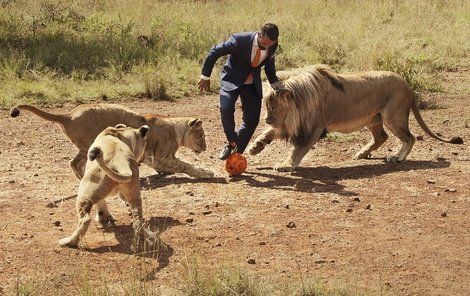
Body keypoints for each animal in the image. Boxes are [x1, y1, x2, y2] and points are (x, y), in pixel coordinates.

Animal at [10, 103, 213, 179]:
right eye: (202, 136)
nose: (204, 147)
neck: (176, 127)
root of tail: (68, 115)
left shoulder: (152, 157)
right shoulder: (161, 157)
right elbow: (185, 165)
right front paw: (206, 173)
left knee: (73, 162)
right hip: (90, 143)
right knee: (76, 163)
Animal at [250, 65, 462, 171]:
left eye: (274, 107)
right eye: (267, 107)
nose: (267, 119)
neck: (300, 100)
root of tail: (407, 85)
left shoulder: (313, 128)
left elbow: (297, 150)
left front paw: (285, 165)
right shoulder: (290, 123)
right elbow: (270, 133)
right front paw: (255, 146)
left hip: (392, 116)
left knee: (409, 138)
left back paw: (397, 157)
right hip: (373, 118)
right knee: (381, 137)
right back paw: (362, 153)